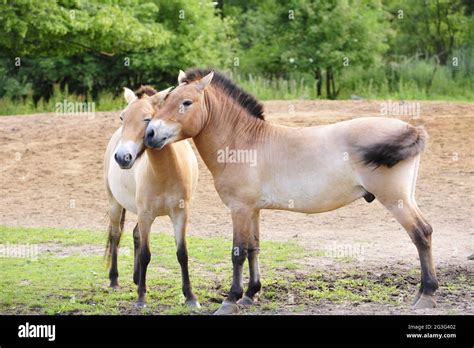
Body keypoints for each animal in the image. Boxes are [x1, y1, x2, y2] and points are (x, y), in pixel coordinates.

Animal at [103, 85, 200, 308]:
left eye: (147, 119)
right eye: (122, 117)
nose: (122, 157)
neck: (165, 171)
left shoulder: (180, 214)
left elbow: (182, 254)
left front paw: (190, 297)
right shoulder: (146, 214)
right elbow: (146, 255)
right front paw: (141, 298)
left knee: (135, 234)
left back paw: (136, 277)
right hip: (115, 204)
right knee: (115, 235)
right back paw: (114, 280)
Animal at [143, 68, 436, 316]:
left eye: (186, 103)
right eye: (166, 99)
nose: (150, 133)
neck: (243, 142)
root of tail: (410, 129)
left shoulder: (239, 210)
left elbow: (238, 253)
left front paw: (231, 299)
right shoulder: (253, 211)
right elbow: (254, 248)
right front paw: (250, 295)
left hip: (396, 200)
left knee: (420, 233)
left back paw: (427, 295)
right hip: (406, 198)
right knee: (426, 231)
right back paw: (423, 293)